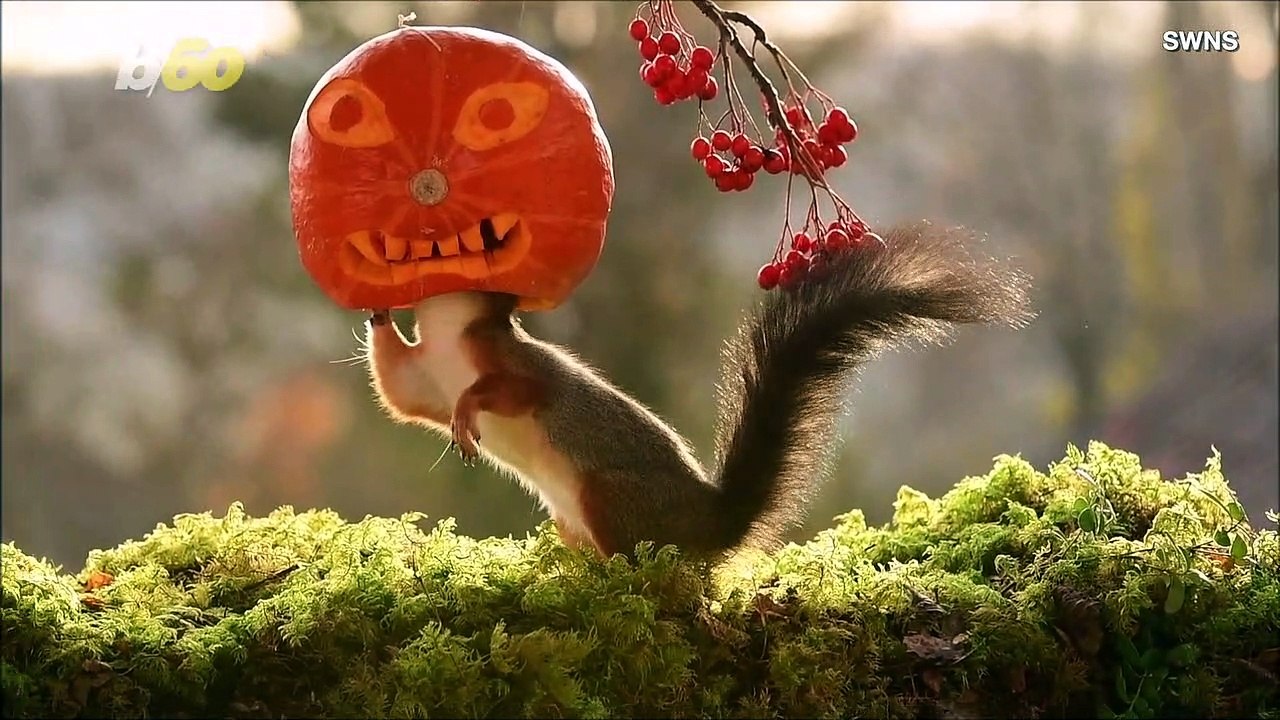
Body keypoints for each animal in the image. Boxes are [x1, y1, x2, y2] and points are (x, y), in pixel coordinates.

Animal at [363, 220, 1033, 560]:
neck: (449, 336)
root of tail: (710, 523)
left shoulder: (513, 366)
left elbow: (512, 392)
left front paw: (468, 413)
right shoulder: (423, 379)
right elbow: (398, 394)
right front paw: (377, 311)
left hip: (609, 496)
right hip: (570, 516)